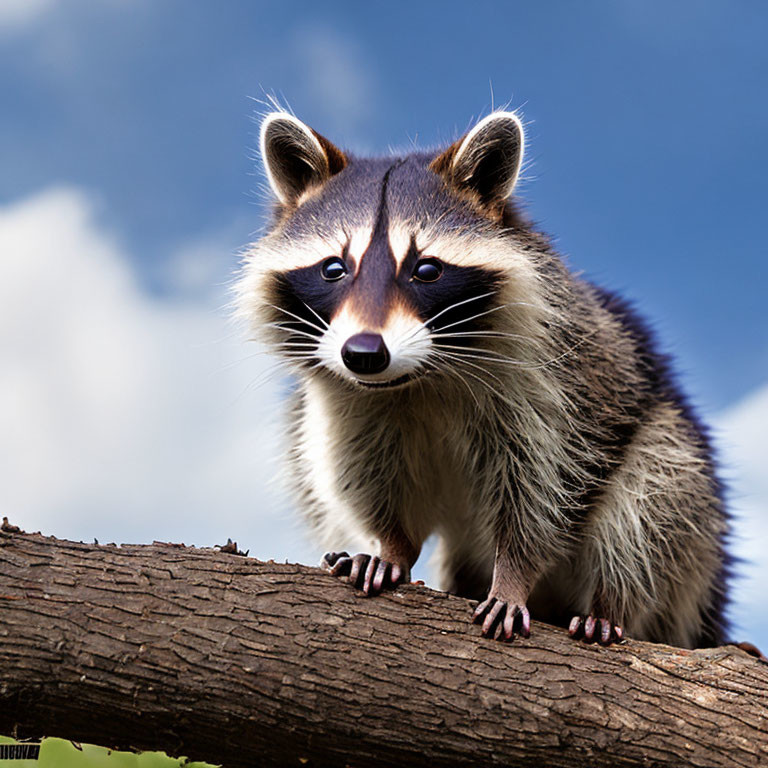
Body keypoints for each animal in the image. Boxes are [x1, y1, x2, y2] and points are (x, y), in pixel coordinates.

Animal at [237, 108, 728, 648]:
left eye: (426, 269)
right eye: (333, 269)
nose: (364, 355)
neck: (419, 379)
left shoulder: (553, 387)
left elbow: (546, 494)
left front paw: (513, 576)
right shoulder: (347, 402)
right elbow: (362, 475)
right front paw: (393, 545)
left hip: (680, 474)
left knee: (652, 507)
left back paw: (610, 603)